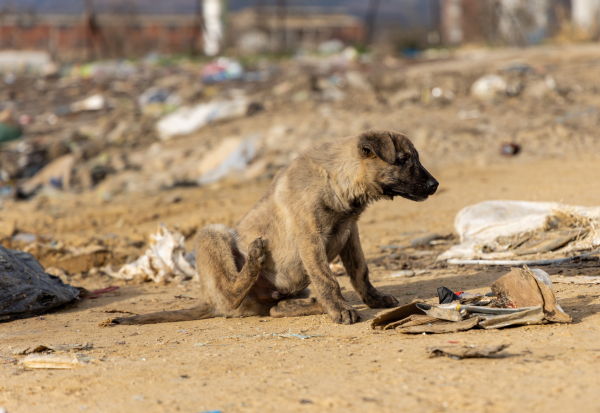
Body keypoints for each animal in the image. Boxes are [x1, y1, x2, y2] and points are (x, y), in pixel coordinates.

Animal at [112, 130, 438, 326]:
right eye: (403, 160)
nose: (435, 185)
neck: (337, 179)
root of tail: (212, 303)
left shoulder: (350, 234)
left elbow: (360, 271)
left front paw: (373, 299)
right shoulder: (310, 238)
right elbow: (328, 280)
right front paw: (340, 309)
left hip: (287, 290)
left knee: (276, 308)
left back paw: (310, 305)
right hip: (212, 233)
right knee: (232, 290)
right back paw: (255, 262)